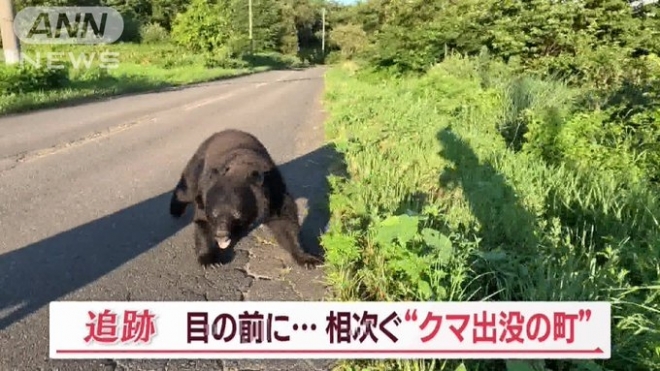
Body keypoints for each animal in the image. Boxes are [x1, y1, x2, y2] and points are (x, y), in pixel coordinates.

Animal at [168, 129, 322, 268]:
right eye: (214, 214)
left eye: (236, 213)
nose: (221, 235)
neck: (240, 168)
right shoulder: (206, 189)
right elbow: (202, 221)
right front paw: (209, 261)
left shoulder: (273, 189)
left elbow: (285, 221)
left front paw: (309, 259)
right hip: (198, 163)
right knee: (186, 189)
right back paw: (175, 210)